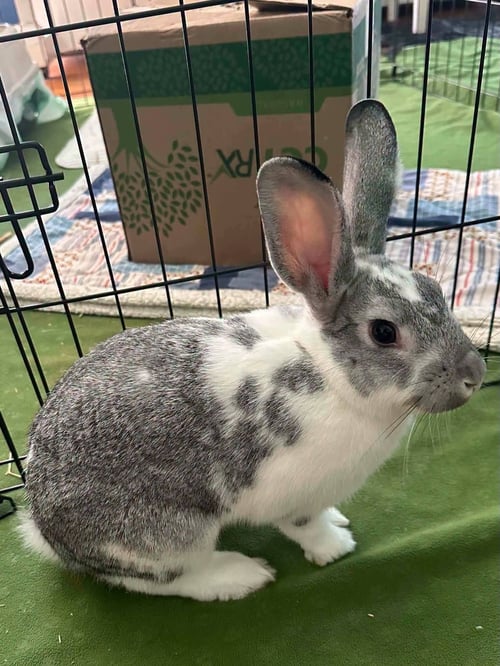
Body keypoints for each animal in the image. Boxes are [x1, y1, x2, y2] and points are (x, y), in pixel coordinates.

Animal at [21, 99, 486, 602]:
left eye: (434, 287)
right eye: (384, 331)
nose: (475, 373)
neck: (330, 377)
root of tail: (43, 527)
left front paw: (339, 523)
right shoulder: (294, 495)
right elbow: (306, 526)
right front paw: (336, 546)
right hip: (169, 534)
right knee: (164, 578)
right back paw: (241, 575)